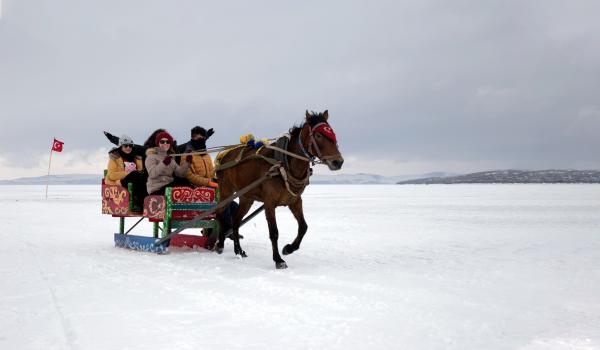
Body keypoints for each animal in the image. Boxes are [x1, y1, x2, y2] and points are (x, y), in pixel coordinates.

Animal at [214, 110, 342, 270]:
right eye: (318, 135)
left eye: (332, 133)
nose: (338, 161)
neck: (284, 165)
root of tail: (223, 155)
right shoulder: (269, 202)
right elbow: (274, 232)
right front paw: (278, 260)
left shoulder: (295, 201)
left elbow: (303, 227)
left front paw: (288, 248)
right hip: (226, 190)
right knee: (219, 212)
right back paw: (219, 244)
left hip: (246, 197)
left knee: (236, 221)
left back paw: (239, 251)